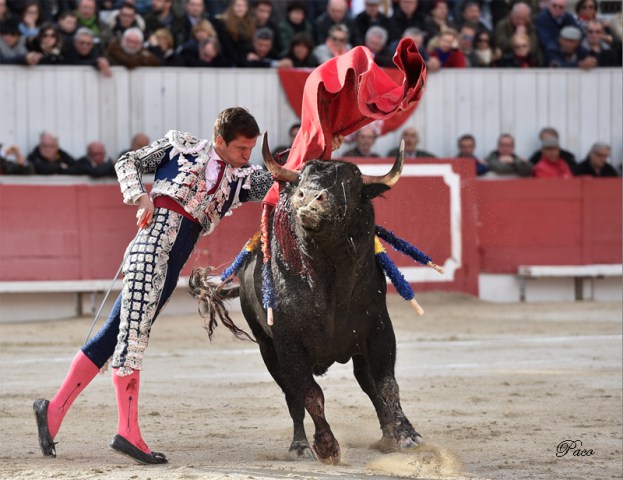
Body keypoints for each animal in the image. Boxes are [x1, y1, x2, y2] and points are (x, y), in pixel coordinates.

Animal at [190, 134, 424, 462]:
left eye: (350, 184)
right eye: (300, 179)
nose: (309, 197)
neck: (330, 280)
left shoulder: (378, 329)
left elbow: (387, 384)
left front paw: (406, 434)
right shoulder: (288, 345)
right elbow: (311, 394)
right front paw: (326, 446)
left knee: (367, 382)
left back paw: (387, 433)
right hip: (267, 349)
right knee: (293, 396)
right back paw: (300, 446)